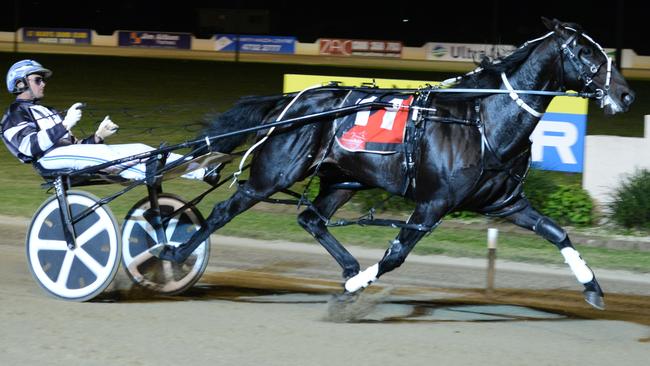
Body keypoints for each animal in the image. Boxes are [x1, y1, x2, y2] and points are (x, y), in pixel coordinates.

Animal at [151, 17, 628, 308]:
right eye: (587, 53)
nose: (626, 94)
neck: (481, 119)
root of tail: (294, 100)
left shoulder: (506, 203)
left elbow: (557, 232)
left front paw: (593, 287)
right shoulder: (433, 205)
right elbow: (397, 253)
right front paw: (357, 285)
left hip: (344, 180)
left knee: (311, 218)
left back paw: (346, 265)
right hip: (274, 174)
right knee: (222, 211)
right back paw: (172, 254)